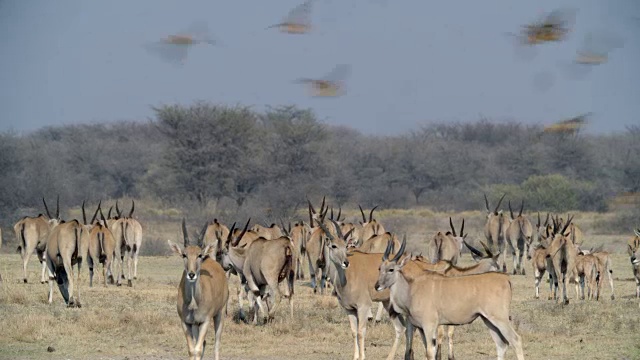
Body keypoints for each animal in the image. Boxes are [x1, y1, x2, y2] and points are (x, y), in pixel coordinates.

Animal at [169, 218, 229, 360]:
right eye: (184, 255)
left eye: (199, 255)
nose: (191, 274)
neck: (193, 301)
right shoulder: (186, 322)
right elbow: (193, 350)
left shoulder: (205, 321)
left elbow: (198, 348)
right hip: (196, 325)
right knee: (204, 343)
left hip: (220, 314)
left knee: (216, 344)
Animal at [318, 219, 402, 360]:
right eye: (334, 246)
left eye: (345, 246)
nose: (346, 262)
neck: (346, 278)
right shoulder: (350, 309)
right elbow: (354, 331)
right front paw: (355, 356)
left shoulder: (363, 307)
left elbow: (361, 332)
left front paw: (362, 356)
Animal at [376, 236, 524, 360]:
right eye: (379, 268)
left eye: (391, 269)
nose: (377, 286)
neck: (411, 289)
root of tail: (505, 279)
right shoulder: (420, 327)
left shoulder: (429, 326)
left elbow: (430, 352)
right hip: (488, 320)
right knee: (501, 344)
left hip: (500, 318)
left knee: (515, 340)